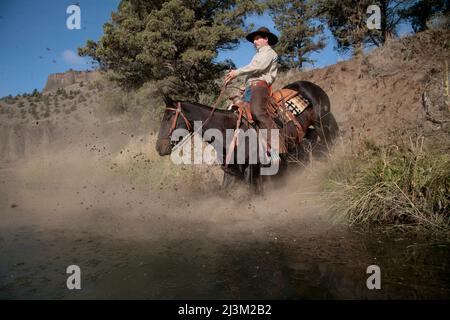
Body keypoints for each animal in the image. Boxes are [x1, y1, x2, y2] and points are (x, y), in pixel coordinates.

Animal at [156, 80, 340, 192]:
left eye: (168, 118)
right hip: (303, 133)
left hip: (324, 122)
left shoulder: (252, 169)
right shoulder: (232, 172)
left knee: (331, 141)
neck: (228, 132)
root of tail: (309, 85)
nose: (159, 148)